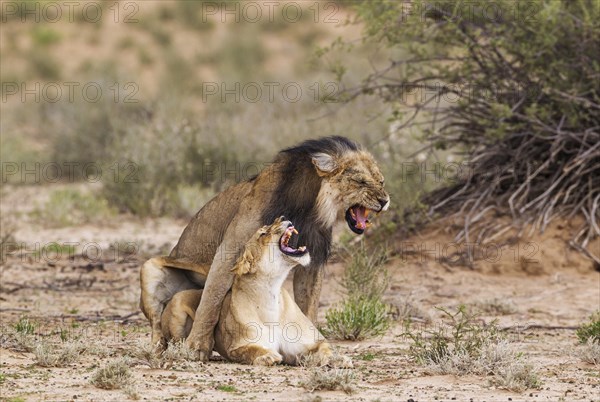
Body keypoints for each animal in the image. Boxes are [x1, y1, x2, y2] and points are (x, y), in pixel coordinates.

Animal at [162, 218, 346, 366]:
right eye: (263, 233)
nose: (283, 217)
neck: (271, 293)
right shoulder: (236, 346)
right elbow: (251, 350)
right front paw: (267, 357)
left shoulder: (309, 343)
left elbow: (325, 348)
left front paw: (339, 359)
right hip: (178, 305)